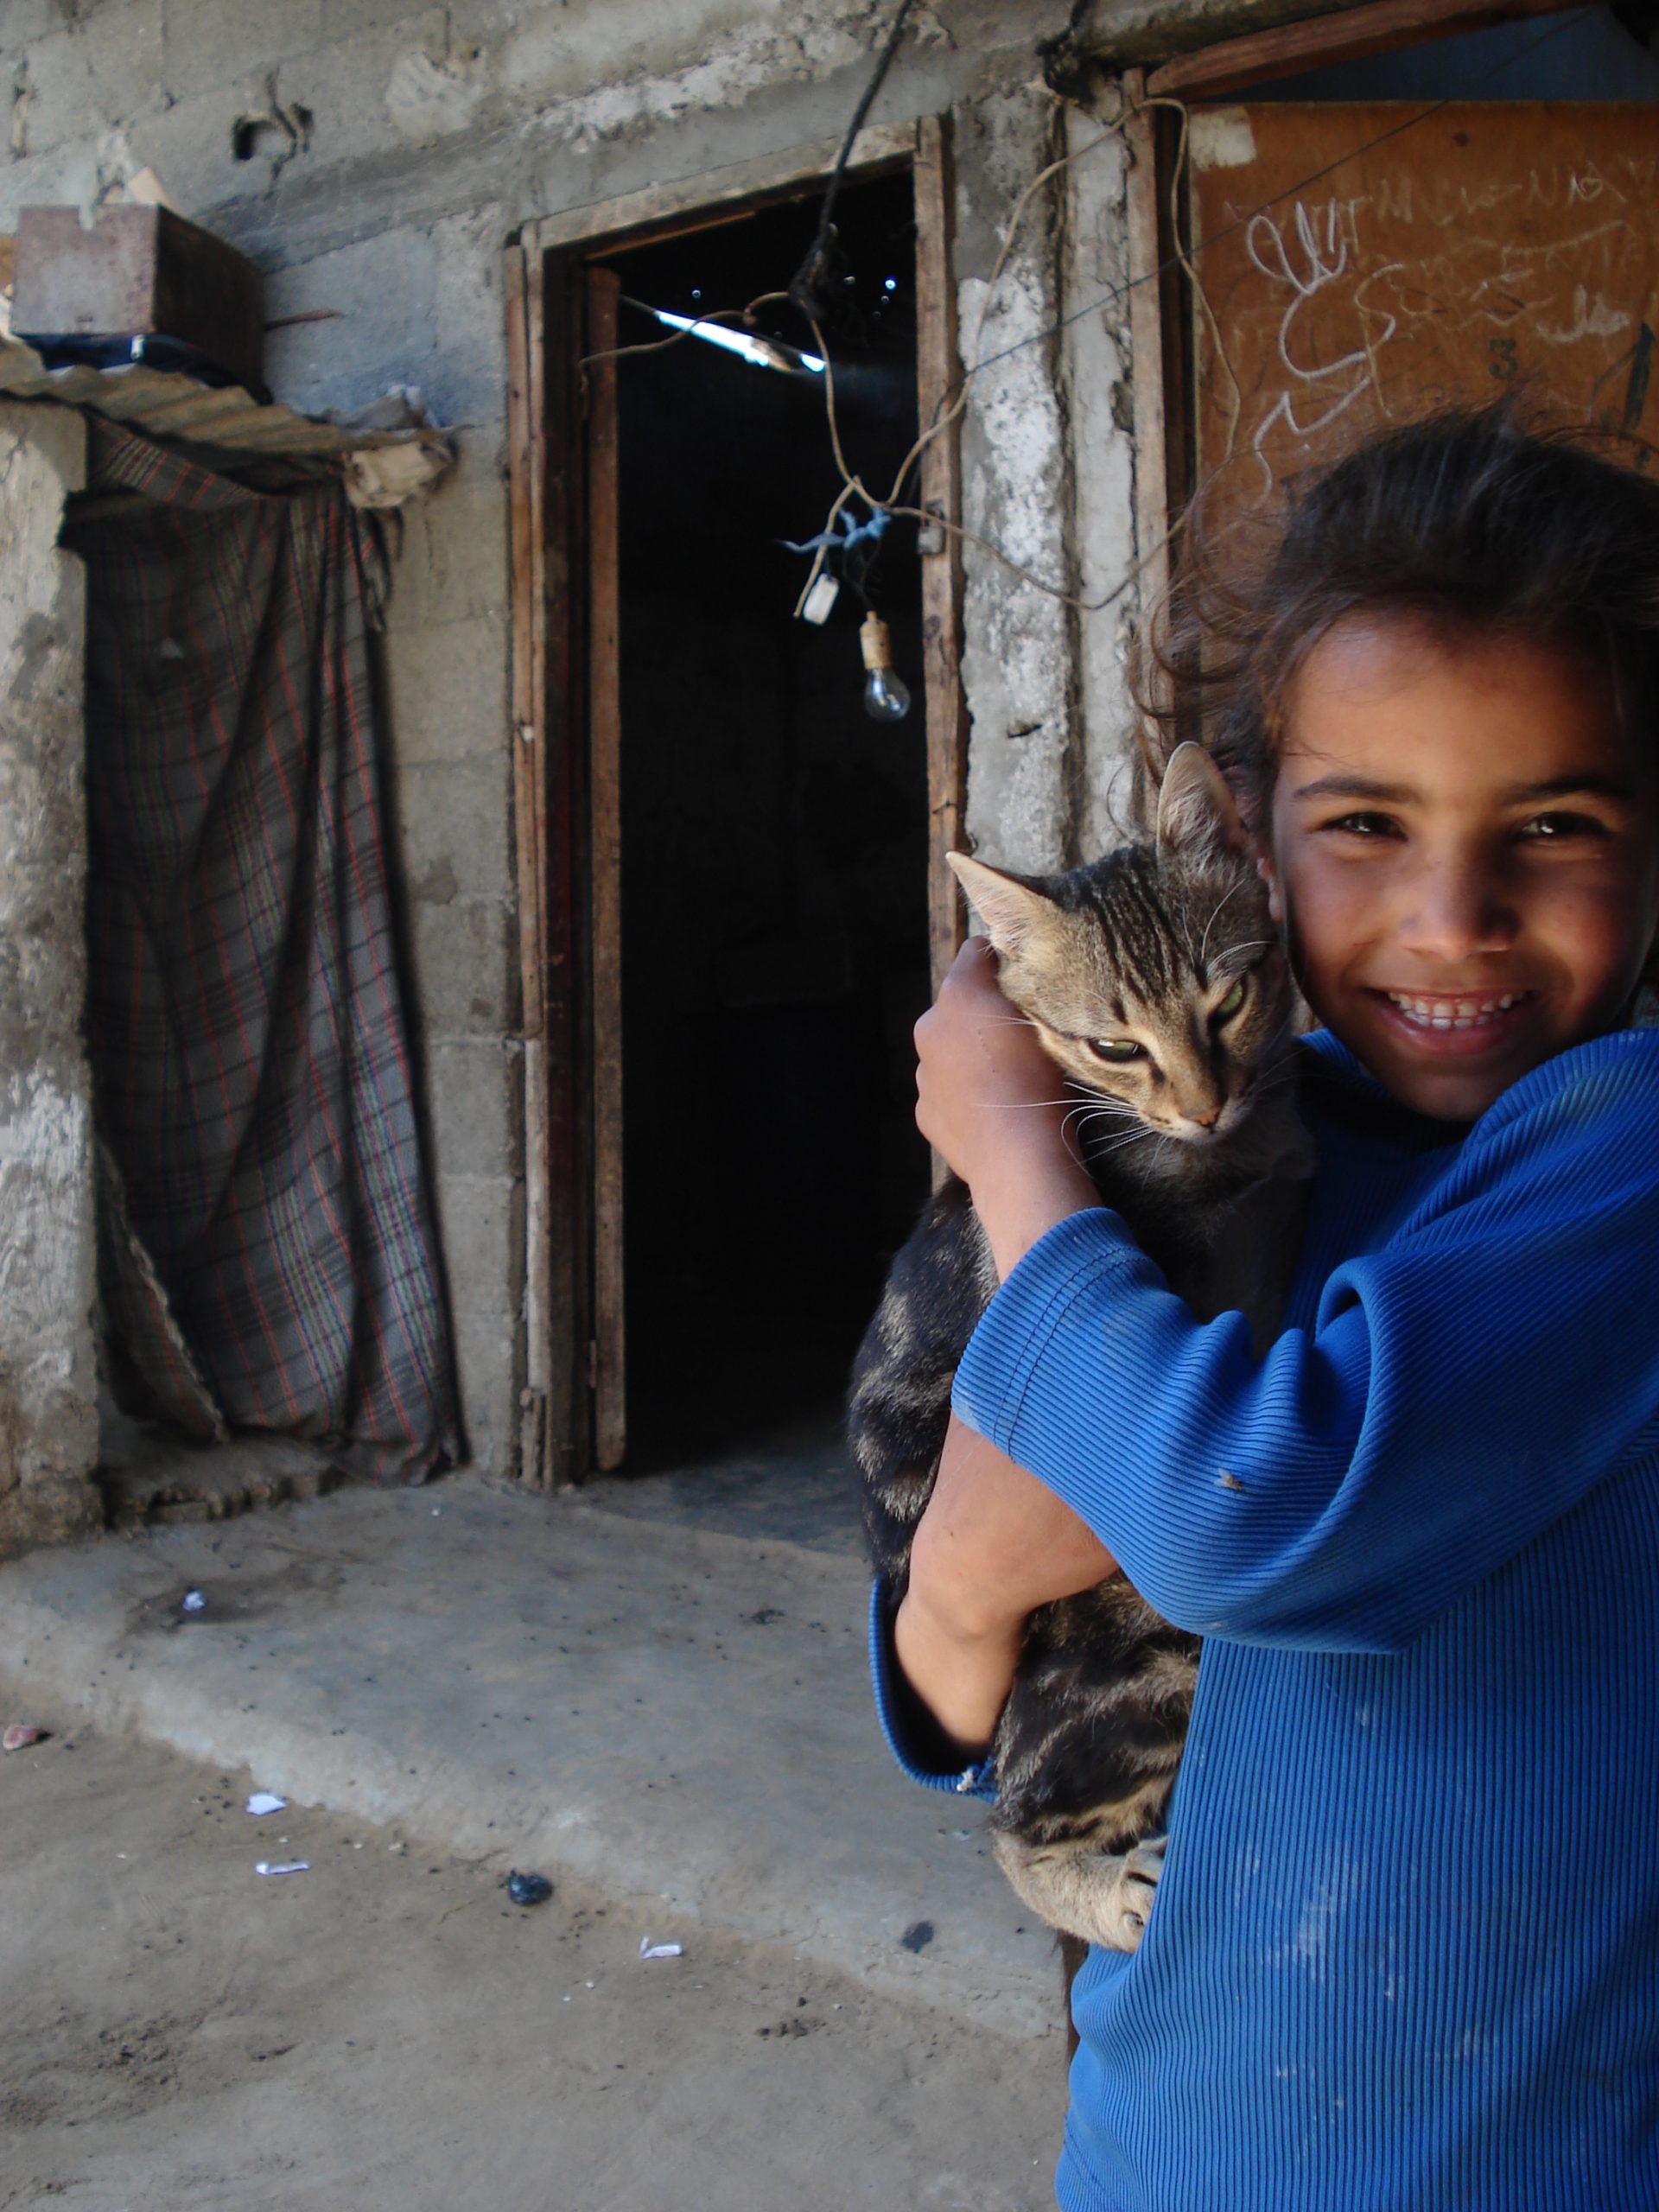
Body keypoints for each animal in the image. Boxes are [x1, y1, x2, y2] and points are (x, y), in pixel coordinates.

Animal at [858, 743, 1309, 1955]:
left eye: (1229, 999)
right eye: (1114, 1047)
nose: (1203, 1107)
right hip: (1149, 1646)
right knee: (1013, 1819)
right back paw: (1102, 1890)